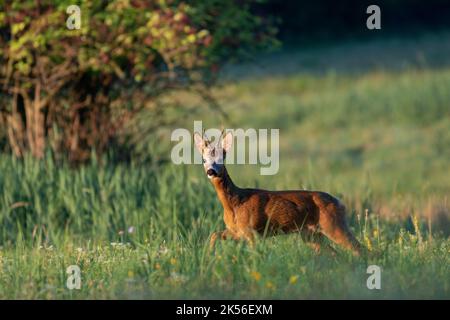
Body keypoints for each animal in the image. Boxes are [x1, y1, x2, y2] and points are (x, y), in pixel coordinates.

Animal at [195, 130, 364, 255]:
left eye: (221, 158)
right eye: (203, 160)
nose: (211, 171)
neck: (235, 203)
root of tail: (339, 202)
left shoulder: (252, 231)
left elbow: (254, 253)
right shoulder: (237, 231)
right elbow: (214, 235)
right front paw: (208, 254)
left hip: (333, 224)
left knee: (359, 248)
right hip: (311, 234)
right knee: (335, 253)